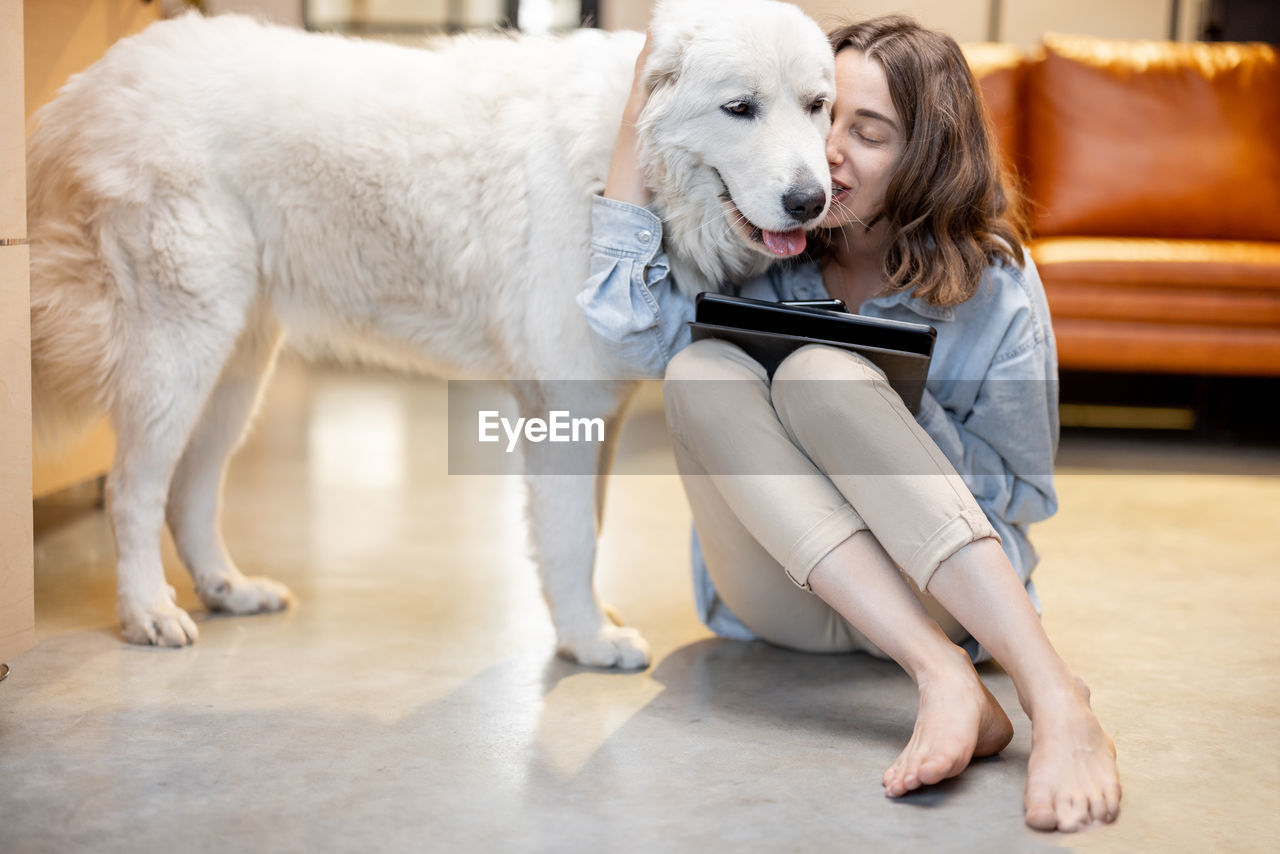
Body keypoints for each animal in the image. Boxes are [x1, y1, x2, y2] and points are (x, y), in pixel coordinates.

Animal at [30, 0, 839, 665]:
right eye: (740, 107)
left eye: (816, 107)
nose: (811, 200)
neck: (630, 159)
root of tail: (100, 81)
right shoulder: (567, 405)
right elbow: (572, 538)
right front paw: (586, 642)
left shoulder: (595, 412)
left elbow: (586, 526)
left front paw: (583, 626)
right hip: (181, 343)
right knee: (134, 488)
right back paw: (147, 613)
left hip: (236, 362)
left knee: (190, 488)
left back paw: (228, 589)